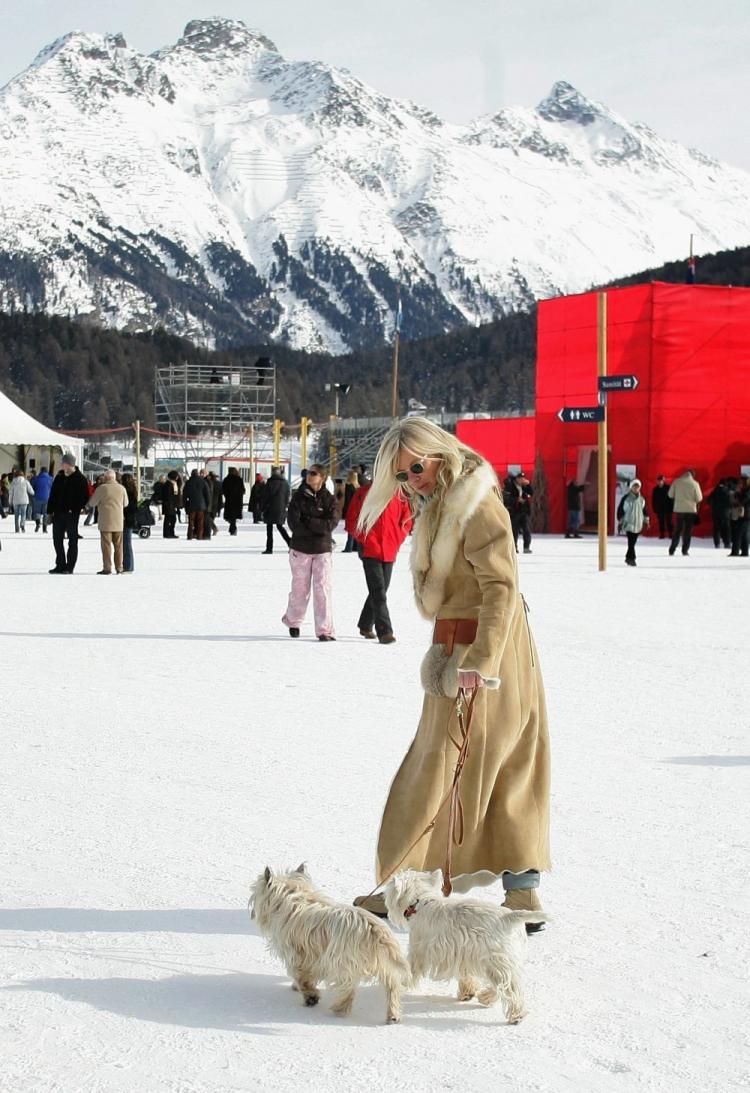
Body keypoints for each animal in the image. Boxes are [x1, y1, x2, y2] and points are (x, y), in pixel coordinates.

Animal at [251, 861, 411, 1023]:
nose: (253, 913)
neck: (294, 897)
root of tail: (374, 930)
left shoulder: (297, 954)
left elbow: (301, 976)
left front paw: (310, 996)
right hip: (384, 965)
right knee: (392, 986)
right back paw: (393, 1015)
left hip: (344, 963)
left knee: (349, 989)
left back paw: (339, 1009)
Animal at [384, 870, 548, 1023]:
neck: (421, 901)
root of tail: (509, 918)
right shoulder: (463, 954)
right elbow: (467, 975)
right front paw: (467, 992)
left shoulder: (418, 950)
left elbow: (410, 969)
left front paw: (402, 984)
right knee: (505, 984)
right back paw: (486, 998)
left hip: (496, 960)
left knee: (508, 988)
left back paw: (514, 1015)